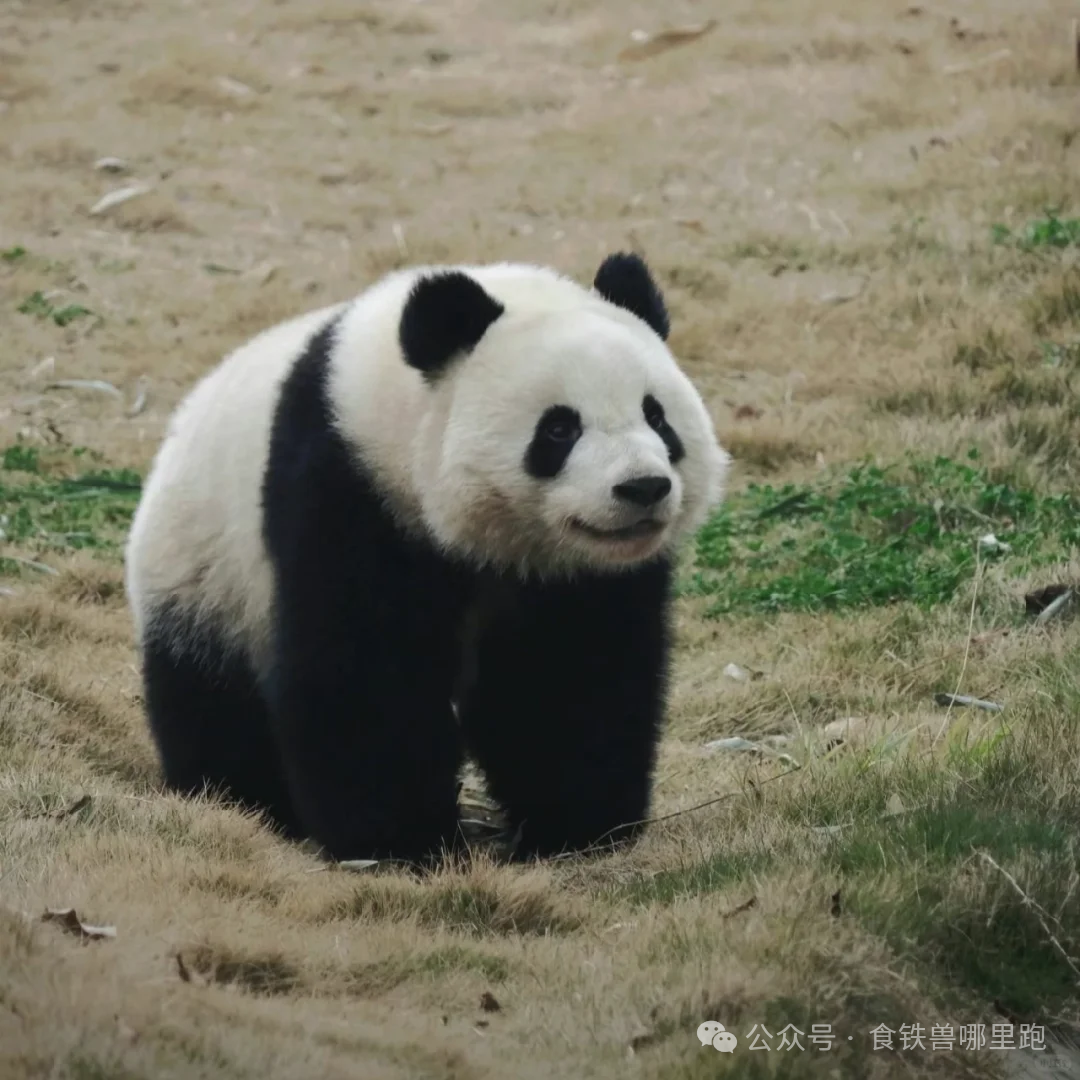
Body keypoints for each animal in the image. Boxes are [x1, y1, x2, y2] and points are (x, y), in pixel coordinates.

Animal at [128, 250, 734, 859]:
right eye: (560, 428)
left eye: (657, 417)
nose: (643, 487)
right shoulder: (347, 485)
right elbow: (363, 669)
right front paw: (399, 840)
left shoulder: (580, 577)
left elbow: (569, 675)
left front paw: (579, 827)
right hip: (204, 572)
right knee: (211, 699)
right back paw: (247, 803)